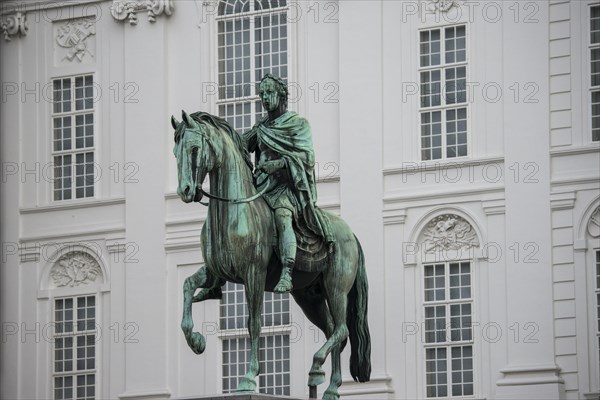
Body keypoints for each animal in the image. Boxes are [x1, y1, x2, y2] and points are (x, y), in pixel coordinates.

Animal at [172, 110, 370, 400]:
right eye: (176, 152)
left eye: (195, 149)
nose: (185, 191)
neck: (233, 211)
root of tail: (351, 234)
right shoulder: (214, 272)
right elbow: (187, 288)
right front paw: (196, 341)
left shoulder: (254, 274)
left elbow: (254, 323)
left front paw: (248, 377)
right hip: (309, 297)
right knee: (335, 331)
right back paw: (331, 387)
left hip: (336, 288)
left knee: (342, 329)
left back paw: (317, 368)